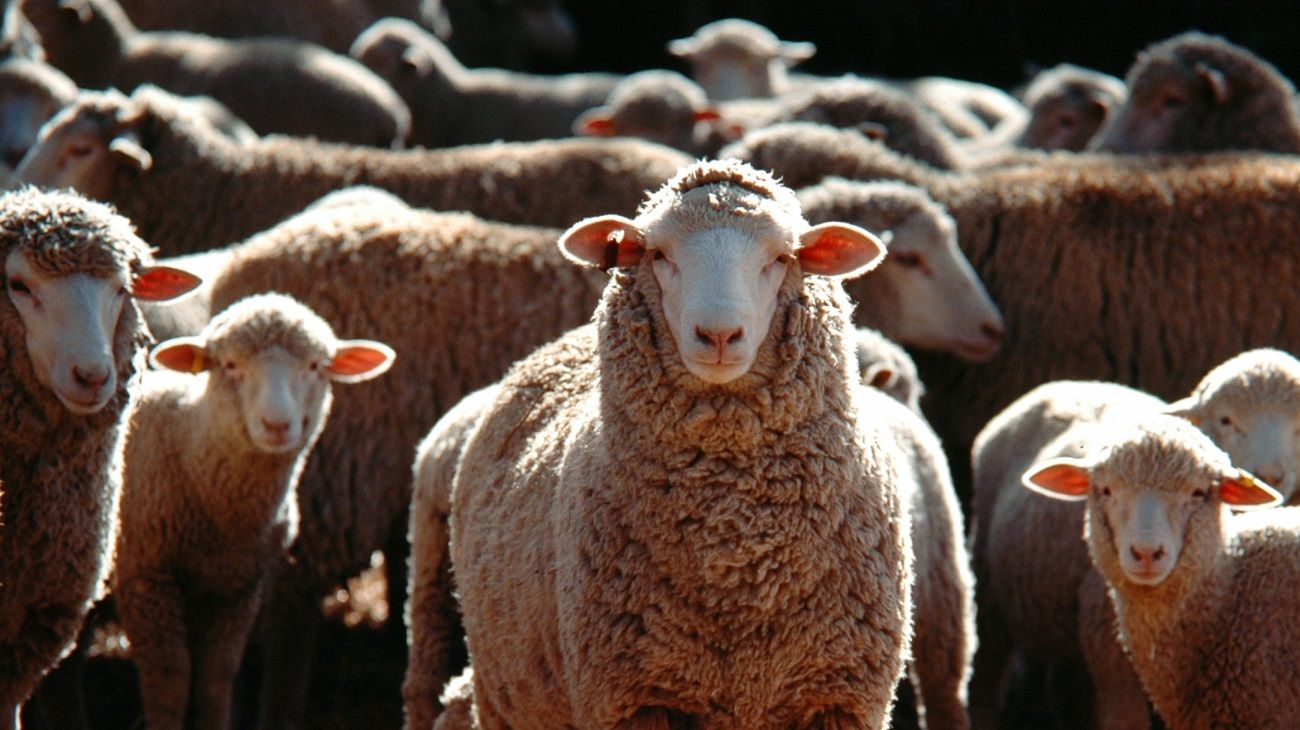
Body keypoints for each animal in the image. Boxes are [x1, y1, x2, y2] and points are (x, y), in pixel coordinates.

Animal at [112, 293, 392, 730]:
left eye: (315, 366)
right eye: (230, 365)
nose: (277, 425)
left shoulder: (240, 586)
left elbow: (217, 678)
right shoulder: (146, 577)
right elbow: (169, 682)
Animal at [418, 158, 912, 728]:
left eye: (783, 257)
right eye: (658, 254)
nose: (718, 335)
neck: (736, 552)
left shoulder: (839, 694)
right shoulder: (636, 695)